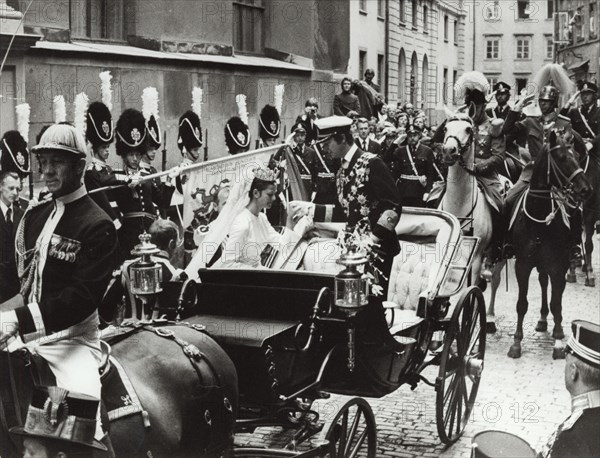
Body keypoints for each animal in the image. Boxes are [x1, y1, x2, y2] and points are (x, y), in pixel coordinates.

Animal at [506, 131, 592, 360]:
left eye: (577, 155)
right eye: (562, 158)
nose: (586, 189)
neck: (539, 216)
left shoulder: (557, 266)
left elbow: (557, 302)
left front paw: (558, 341)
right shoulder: (522, 265)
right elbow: (521, 304)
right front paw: (516, 343)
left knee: (555, 292)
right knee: (544, 284)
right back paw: (543, 319)